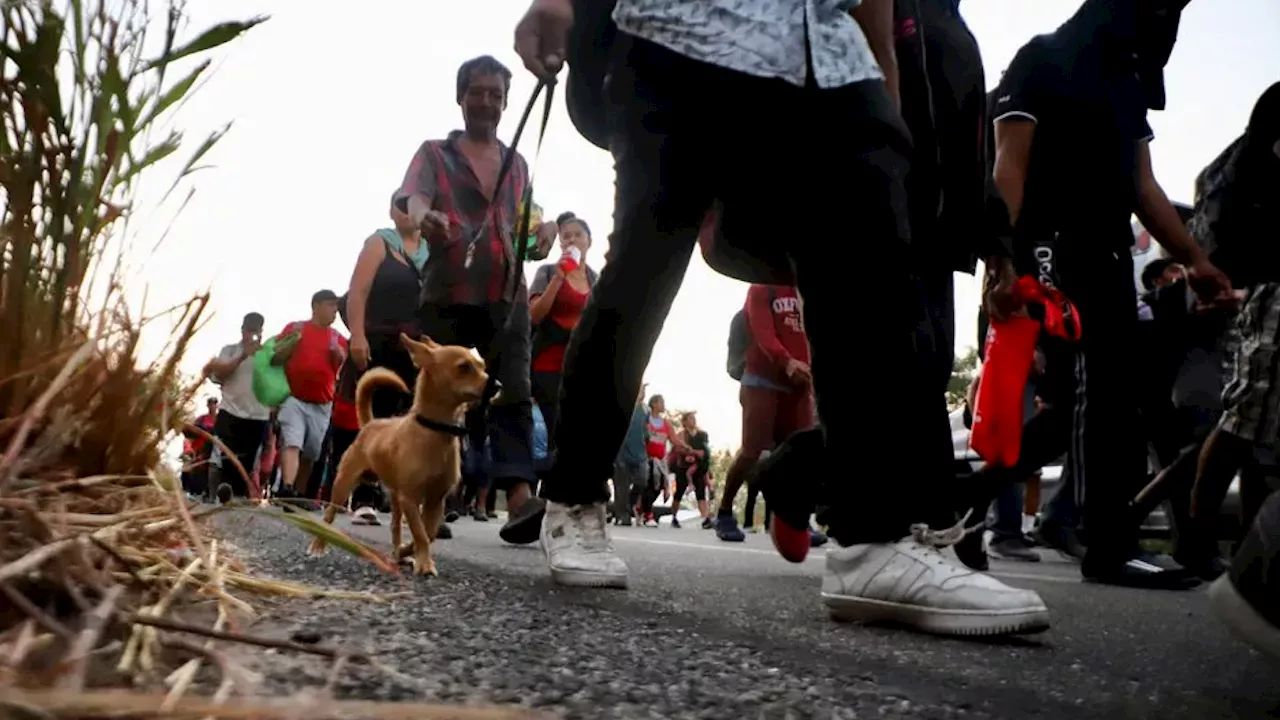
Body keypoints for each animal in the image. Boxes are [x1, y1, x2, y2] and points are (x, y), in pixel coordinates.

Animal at [307, 333, 486, 573]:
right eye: (464, 367)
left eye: (483, 367)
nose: (495, 384)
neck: (436, 430)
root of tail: (370, 424)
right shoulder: (410, 498)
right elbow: (420, 533)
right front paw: (424, 564)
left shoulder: (435, 500)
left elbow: (427, 534)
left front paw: (409, 553)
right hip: (343, 485)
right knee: (329, 517)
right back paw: (318, 546)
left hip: (394, 496)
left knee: (394, 527)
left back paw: (397, 556)